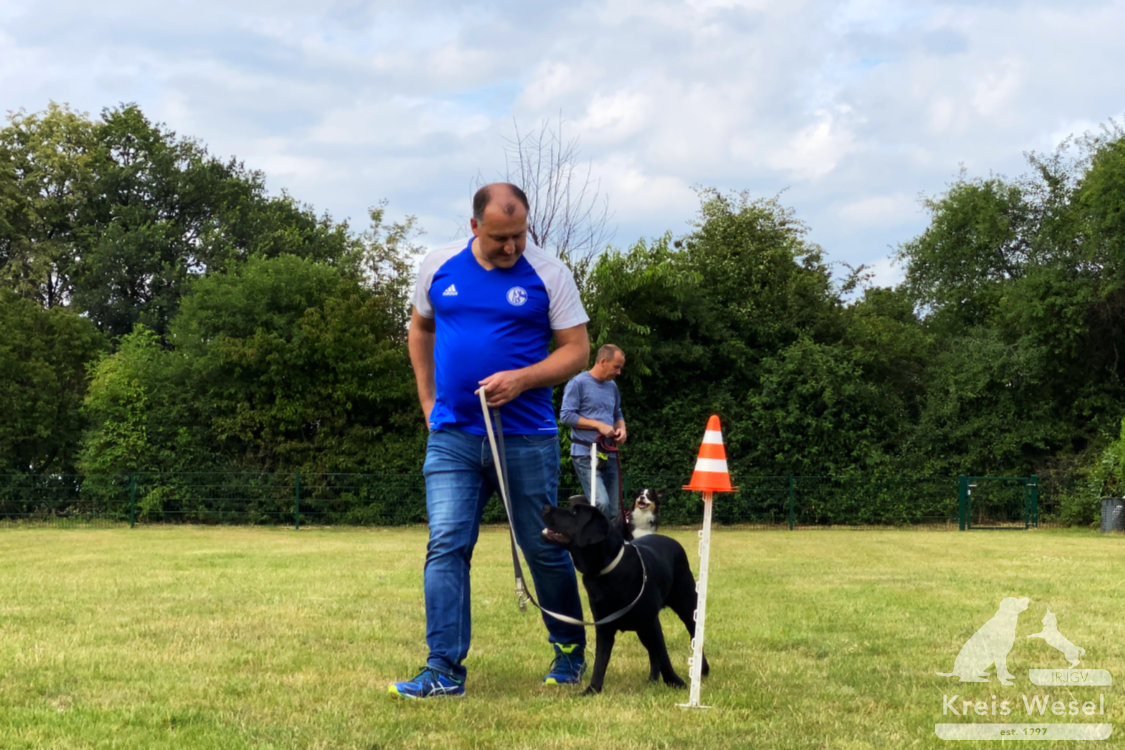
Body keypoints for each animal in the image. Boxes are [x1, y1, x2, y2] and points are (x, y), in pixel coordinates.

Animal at [540, 501, 706, 697]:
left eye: (574, 513)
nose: (545, 507)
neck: (606, 571)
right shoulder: (604, 627)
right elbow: (600, 660)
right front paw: (592, 689)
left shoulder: (650, 622)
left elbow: (663, 654)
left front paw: (675, 682)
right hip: (643, 629)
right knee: (652, 652)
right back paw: (652, 679)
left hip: (685, 607)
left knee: (692, 634)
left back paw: (702, 670)